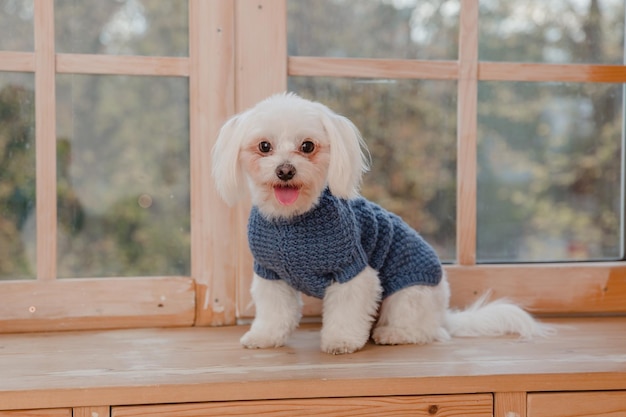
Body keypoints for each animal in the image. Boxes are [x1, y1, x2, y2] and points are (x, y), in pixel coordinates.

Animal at [212, 92, 548, 354]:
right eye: (264, 146)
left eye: (307, 146)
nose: (285, 170)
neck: (291, 219)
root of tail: (443, 313)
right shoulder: (271, 274)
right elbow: (273, 312)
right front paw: (264, 336)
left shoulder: (353, 270)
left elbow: (347, 312)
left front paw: (341, 341)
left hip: (407, 294)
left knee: (426, 331)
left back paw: (392, 334)